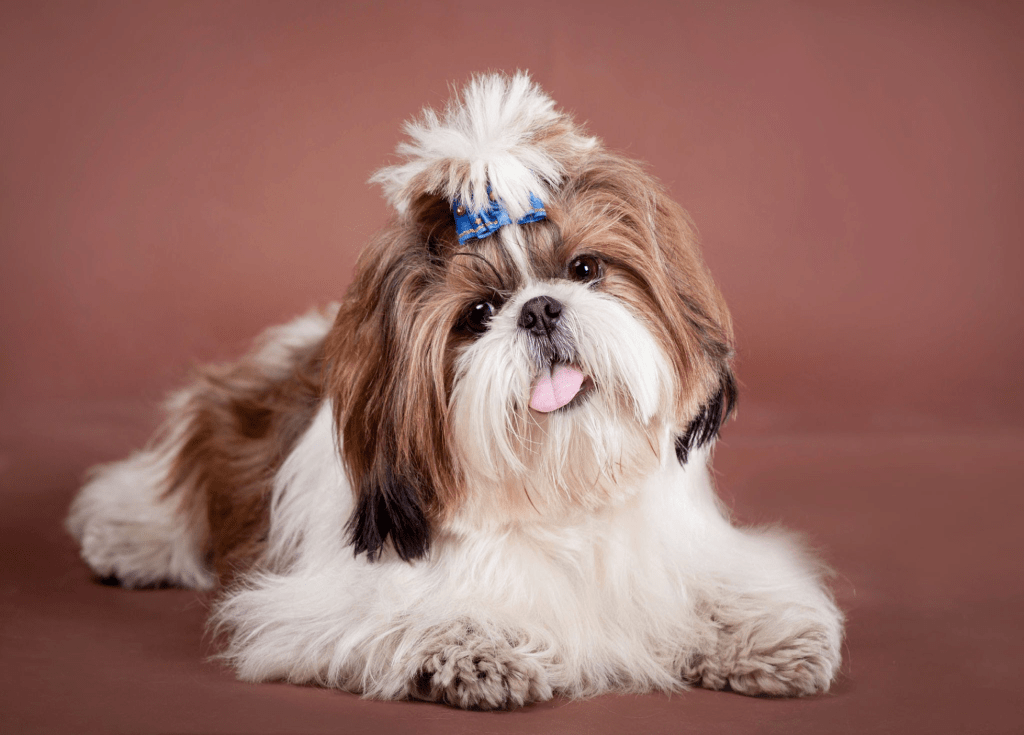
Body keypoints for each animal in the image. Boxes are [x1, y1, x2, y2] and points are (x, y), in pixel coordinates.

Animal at [66, 72, 843, 709]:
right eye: (478, 314)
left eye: (585, 268)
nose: (539, 309)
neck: (560, 495)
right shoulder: (331, 601)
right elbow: (408, 616)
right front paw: (476, 648)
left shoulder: (684, 551)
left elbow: (718, 587)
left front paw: (767, 634)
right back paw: (132, 538)